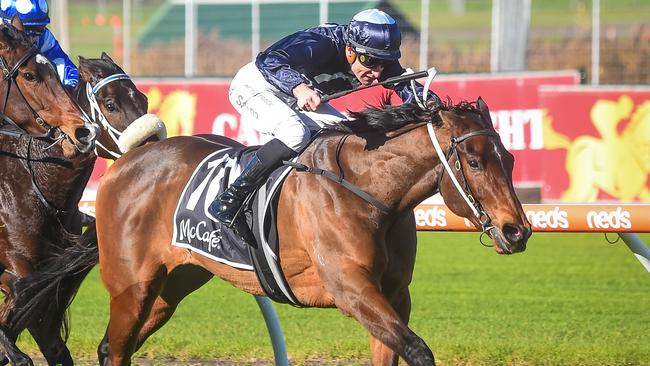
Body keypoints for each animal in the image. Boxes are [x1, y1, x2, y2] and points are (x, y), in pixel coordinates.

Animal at [16, 96, 532, 364]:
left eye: (508, 158)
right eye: (474, 161)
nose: (517, 231)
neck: (369, 191)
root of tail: (127, 160)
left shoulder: (393, 294)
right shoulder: (352, 290)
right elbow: (418, 350)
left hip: (171, 286)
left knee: (114, 346)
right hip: (131, 285)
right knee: (115, 346)